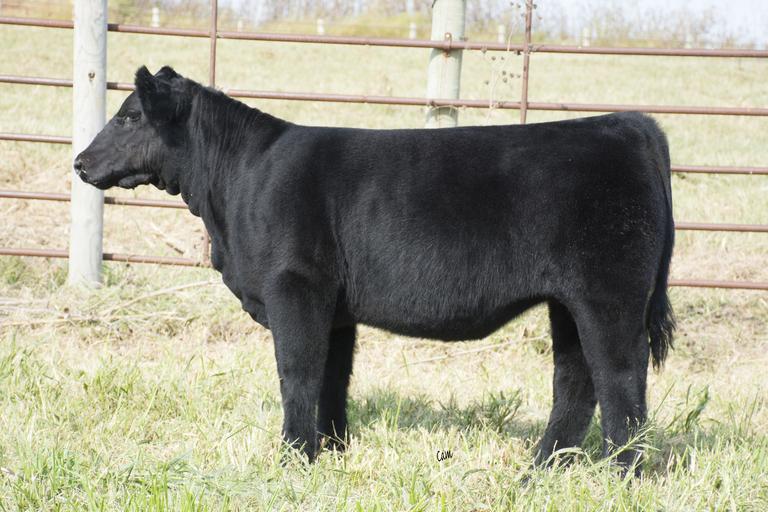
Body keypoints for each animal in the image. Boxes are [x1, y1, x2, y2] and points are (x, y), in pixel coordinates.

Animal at [74, 66, 675, 474]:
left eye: (130, 116)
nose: (80, 162)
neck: (238, 182)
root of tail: (630, 125)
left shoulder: (296, 287)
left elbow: (297, 371)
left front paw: (293, 456)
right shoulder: (335, 308)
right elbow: (332, 377)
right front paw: (331, 450)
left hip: (608, 296)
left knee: (619, 377)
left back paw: (622, 473)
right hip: (568, 302)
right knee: (576, 379)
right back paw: (543, 467)